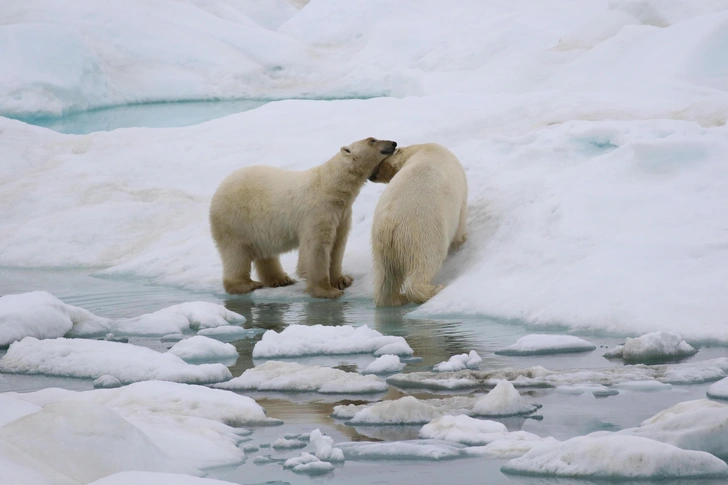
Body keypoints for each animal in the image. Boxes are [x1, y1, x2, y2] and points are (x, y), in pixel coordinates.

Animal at [208, 134, 398, 296]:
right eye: (372, 140)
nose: (393, 143)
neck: (331, 187)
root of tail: (220, 187)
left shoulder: (342, 214)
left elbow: (338, 244)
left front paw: (342, 280)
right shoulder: (318, 210)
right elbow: (317, 246)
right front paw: (327, 290)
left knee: (265, 251)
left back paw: (281, 279)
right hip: (234, 218)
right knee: (235, 252)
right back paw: (245, 284)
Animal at [370, 142, 466, 304]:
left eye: (379, 164)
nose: (371, 176)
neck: (422, 149)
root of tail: (388, 225)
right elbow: (460, 221)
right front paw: (462, 241)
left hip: (379, 248)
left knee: (385, 278)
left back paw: (397, 298)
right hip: (421, 234)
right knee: (424, 265)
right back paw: (435, 289)